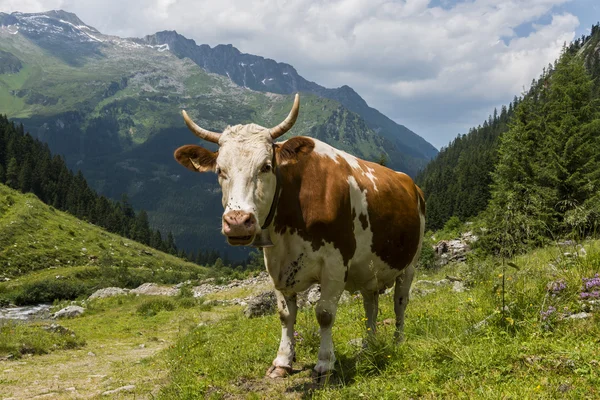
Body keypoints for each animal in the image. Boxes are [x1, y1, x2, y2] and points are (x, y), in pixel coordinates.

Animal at [173, 94, 426, 378]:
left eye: (266, 166)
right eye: (219, 170)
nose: (238, 222)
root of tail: (411, 184)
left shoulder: (335, 263)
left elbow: (324, 313)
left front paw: (325, 363)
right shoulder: (275, 265)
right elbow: (285, 315)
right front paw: (282, 361)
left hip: (409, 264)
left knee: (400, 302)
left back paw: (397, 341)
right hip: (369, 270)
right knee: (370, 305)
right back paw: (368, 346)